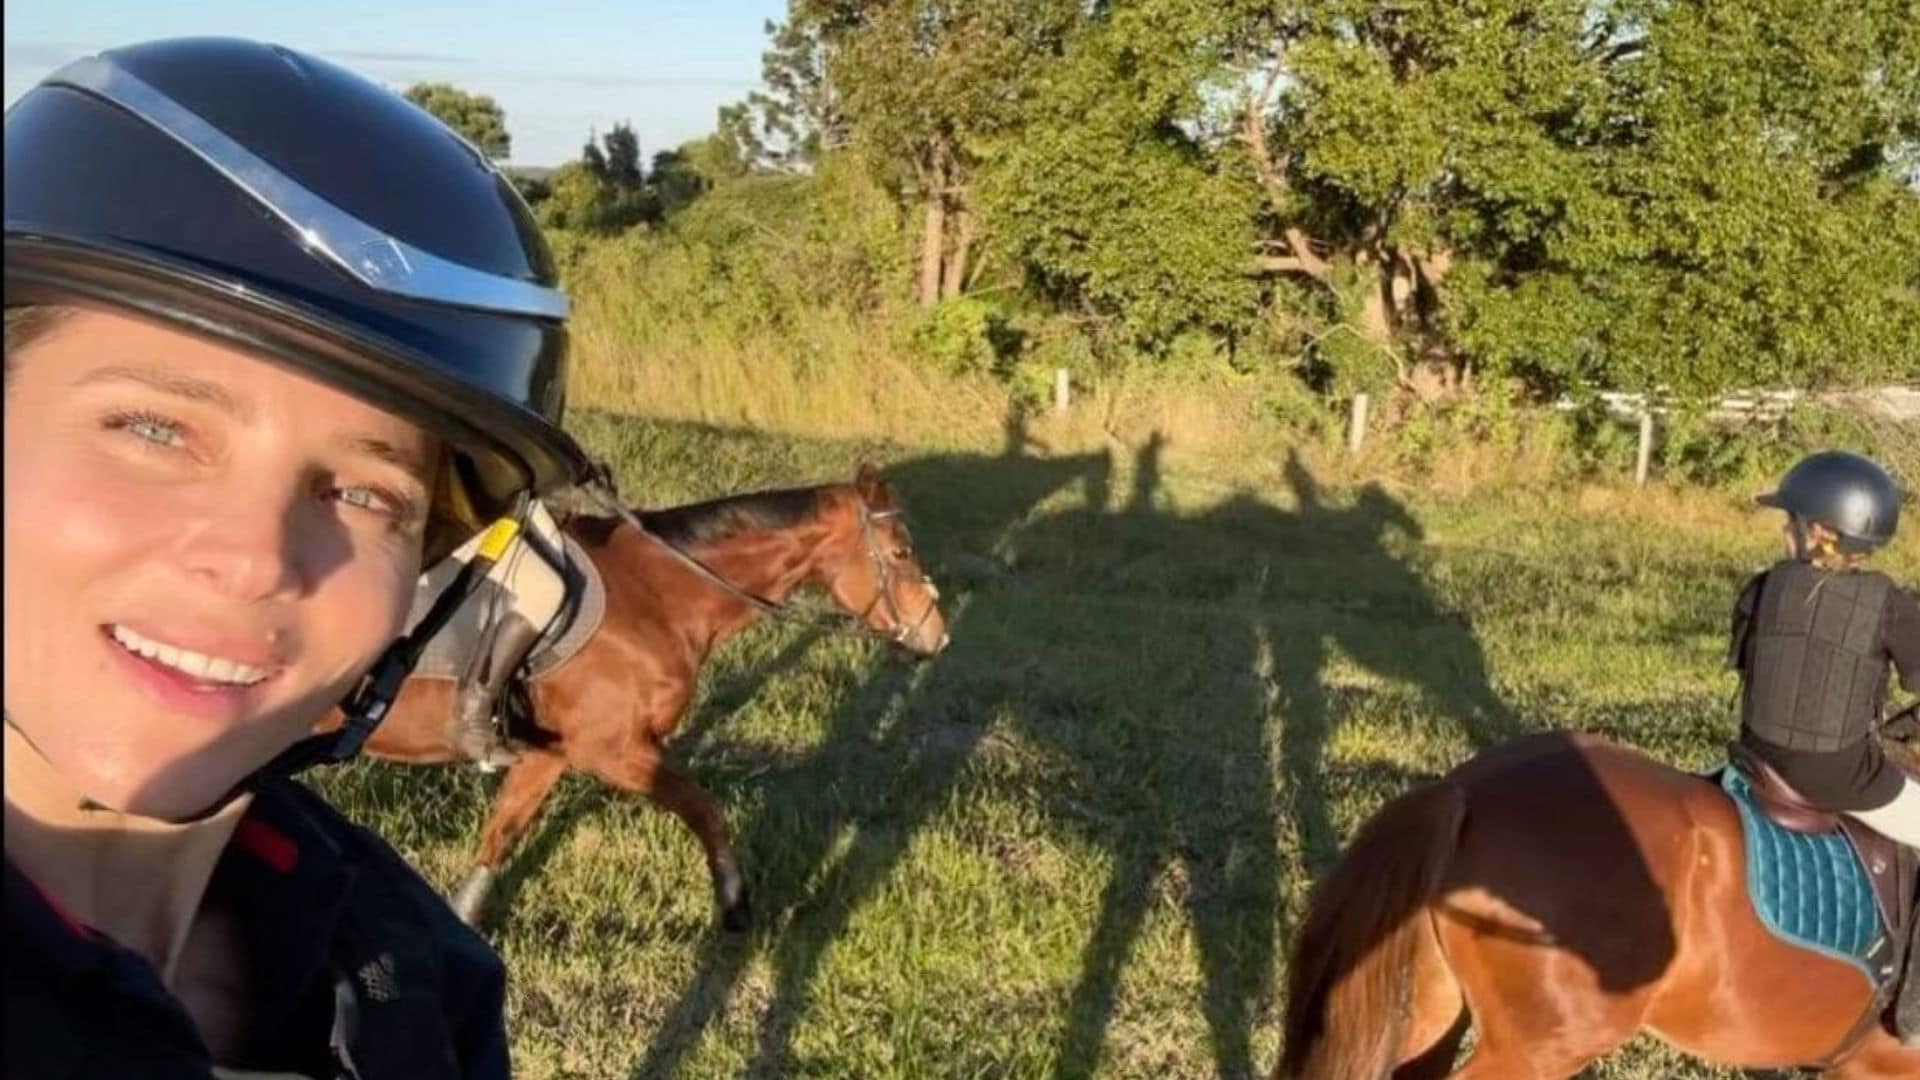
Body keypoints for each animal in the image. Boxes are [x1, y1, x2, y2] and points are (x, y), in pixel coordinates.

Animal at [324, 463, 952, 926]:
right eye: (901, 553)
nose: (937, 635)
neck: (659, 595)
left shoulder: (550, 754)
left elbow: (502, 833)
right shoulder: (616, 752)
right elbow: (706, 810)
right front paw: (735, 905)